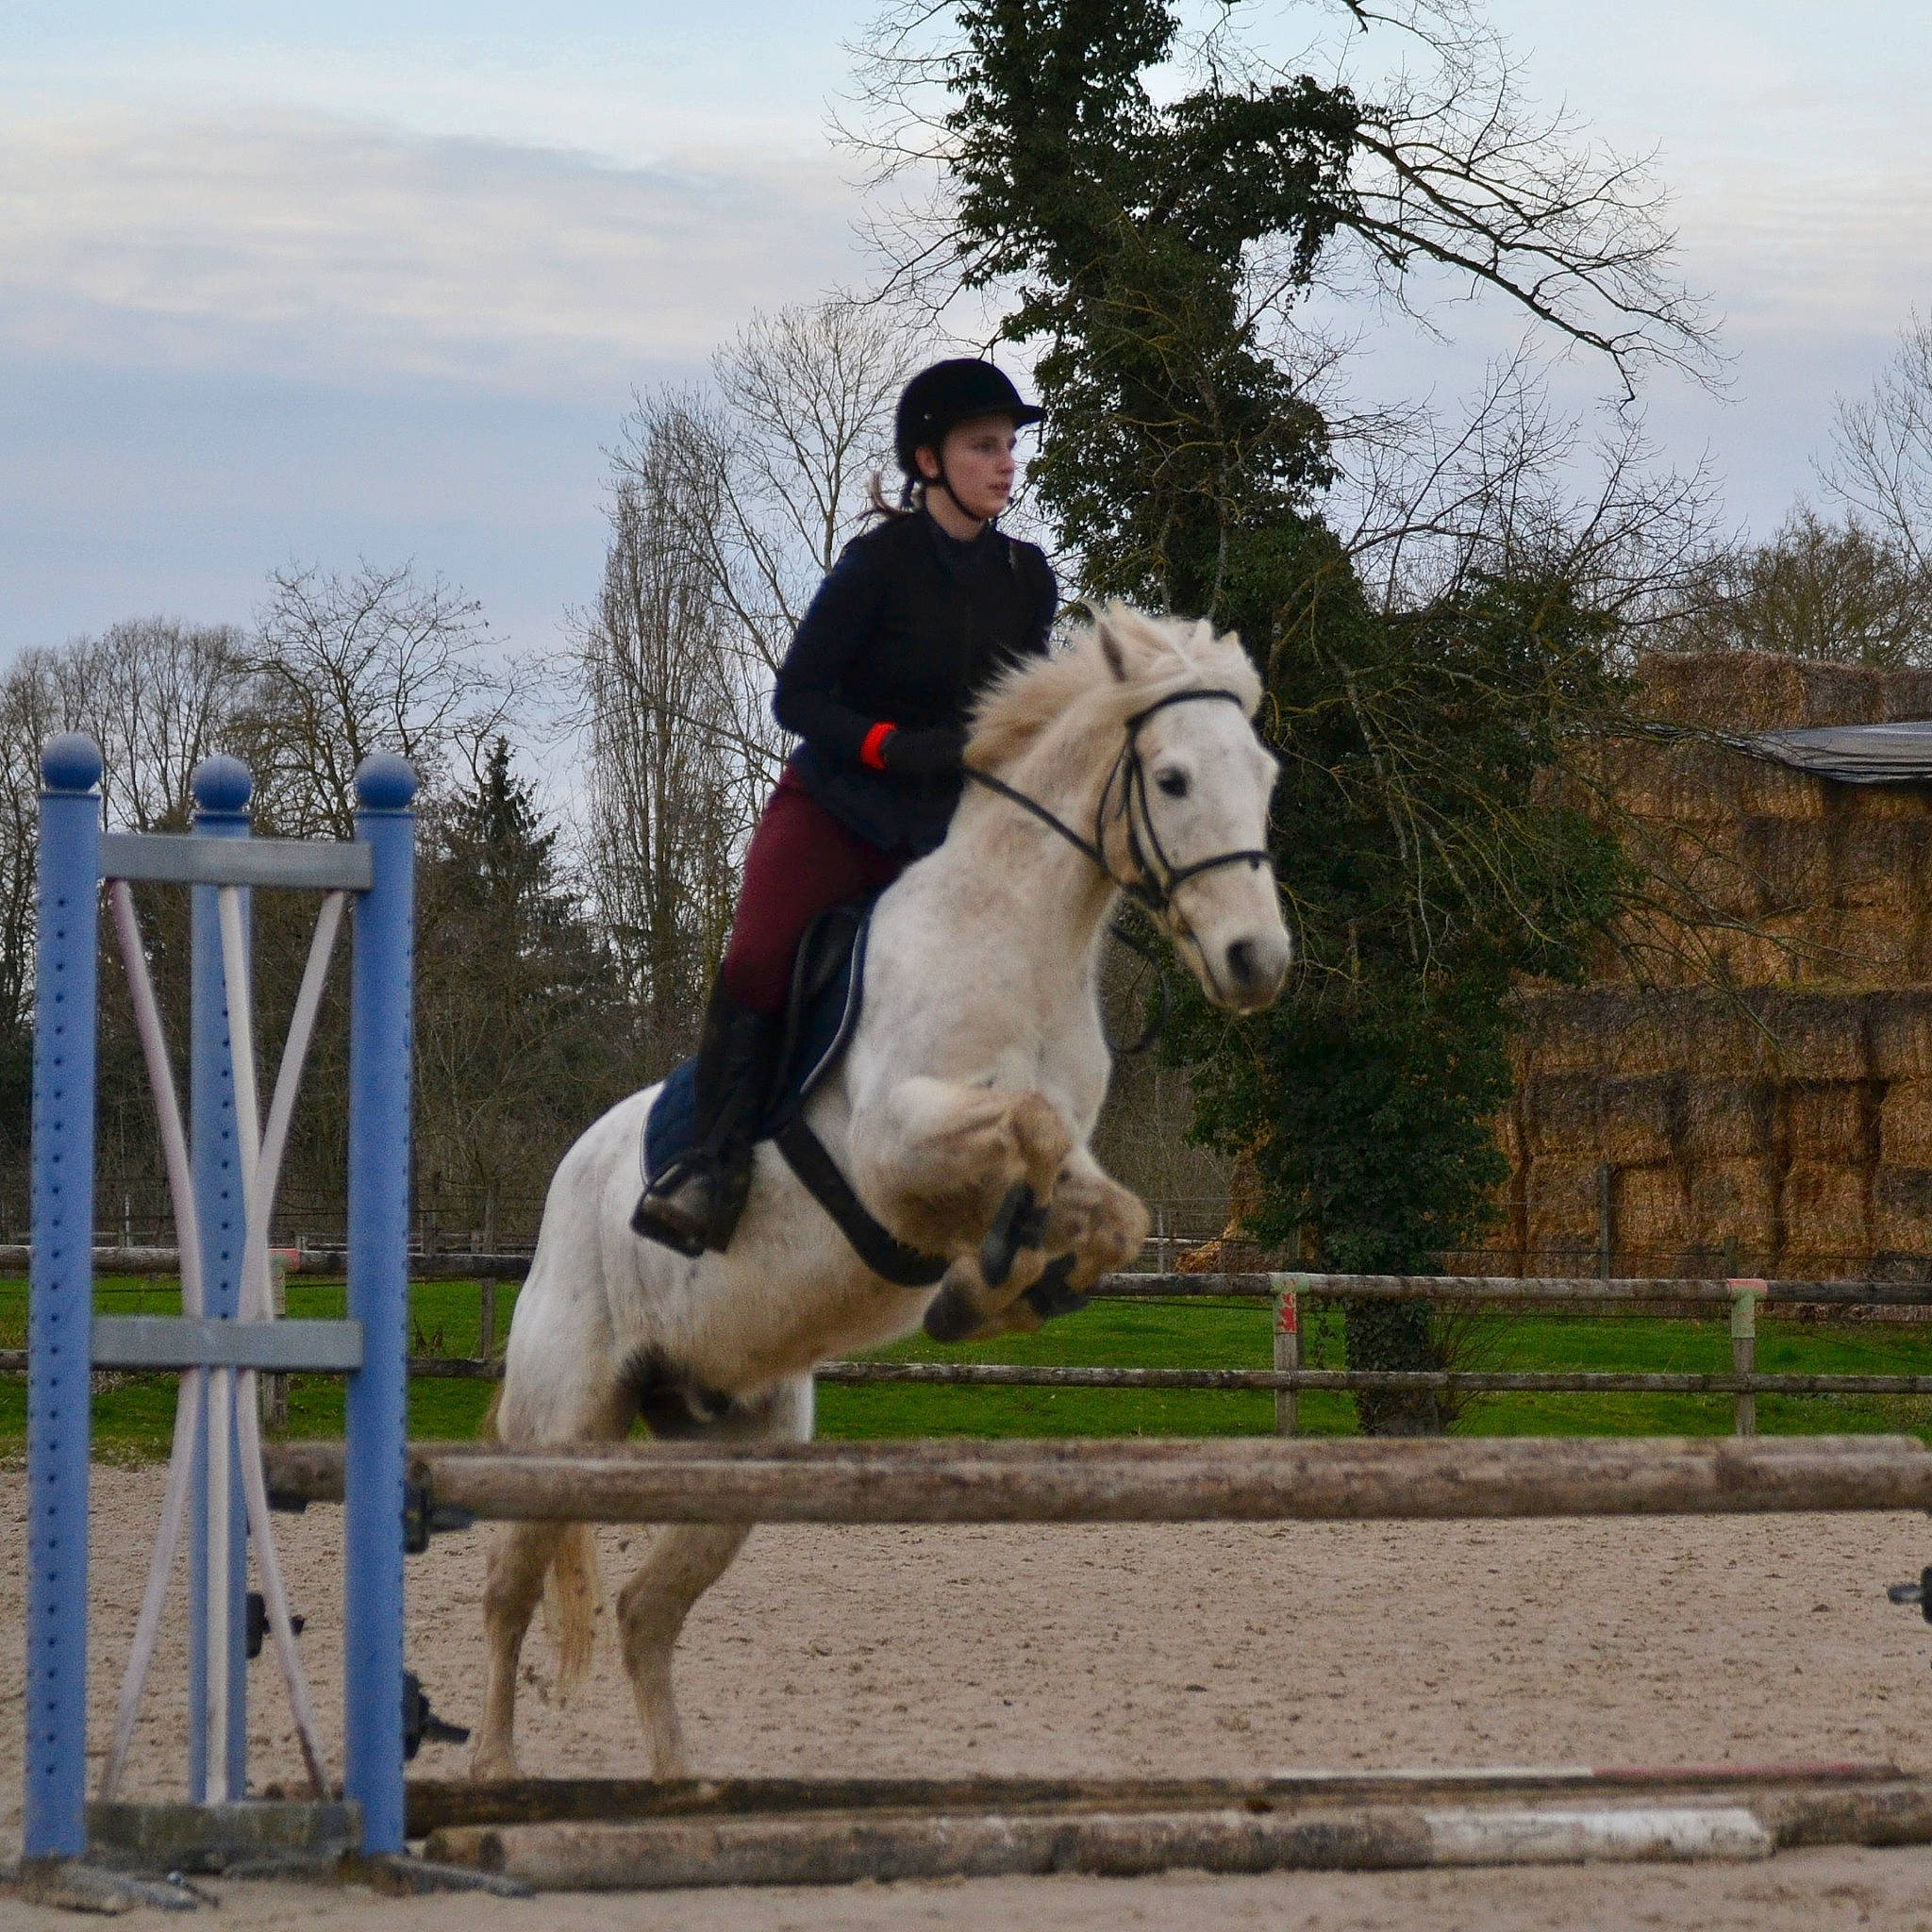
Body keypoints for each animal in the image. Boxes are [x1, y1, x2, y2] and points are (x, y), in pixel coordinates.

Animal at [470, 602, 1293, 1780]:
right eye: (1173, 778)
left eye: (1262, 775)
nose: (1255, 959)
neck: (1021, 941)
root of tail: (565, 1179)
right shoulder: (890, 1146)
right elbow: (1025, 1130)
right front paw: (985, 1276)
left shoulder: (1066, 1160)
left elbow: (1109, 1207)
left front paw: (1002, 1287)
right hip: (564, 1420)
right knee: (508, 1593)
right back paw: (492, 1772)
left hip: (744, 1445)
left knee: (641, 1611)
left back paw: (682, 1789)